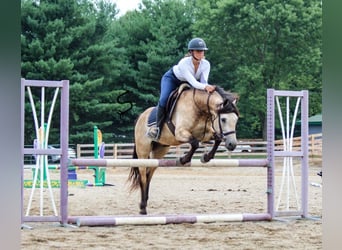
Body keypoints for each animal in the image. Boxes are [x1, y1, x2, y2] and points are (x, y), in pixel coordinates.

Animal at [129, 85, 240, 214]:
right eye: (223, 119)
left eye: (236, 119)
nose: (232, 144)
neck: (199, 107)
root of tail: (140, 117)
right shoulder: (180, 133)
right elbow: (195, 143)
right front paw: (183, 159)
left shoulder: (205, 134)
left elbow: (216, 139)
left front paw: (206, 157)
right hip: (143, 151)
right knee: (142, 176)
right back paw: (142, 207)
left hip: (160, 150)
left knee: (148, 175)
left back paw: (145, 203)